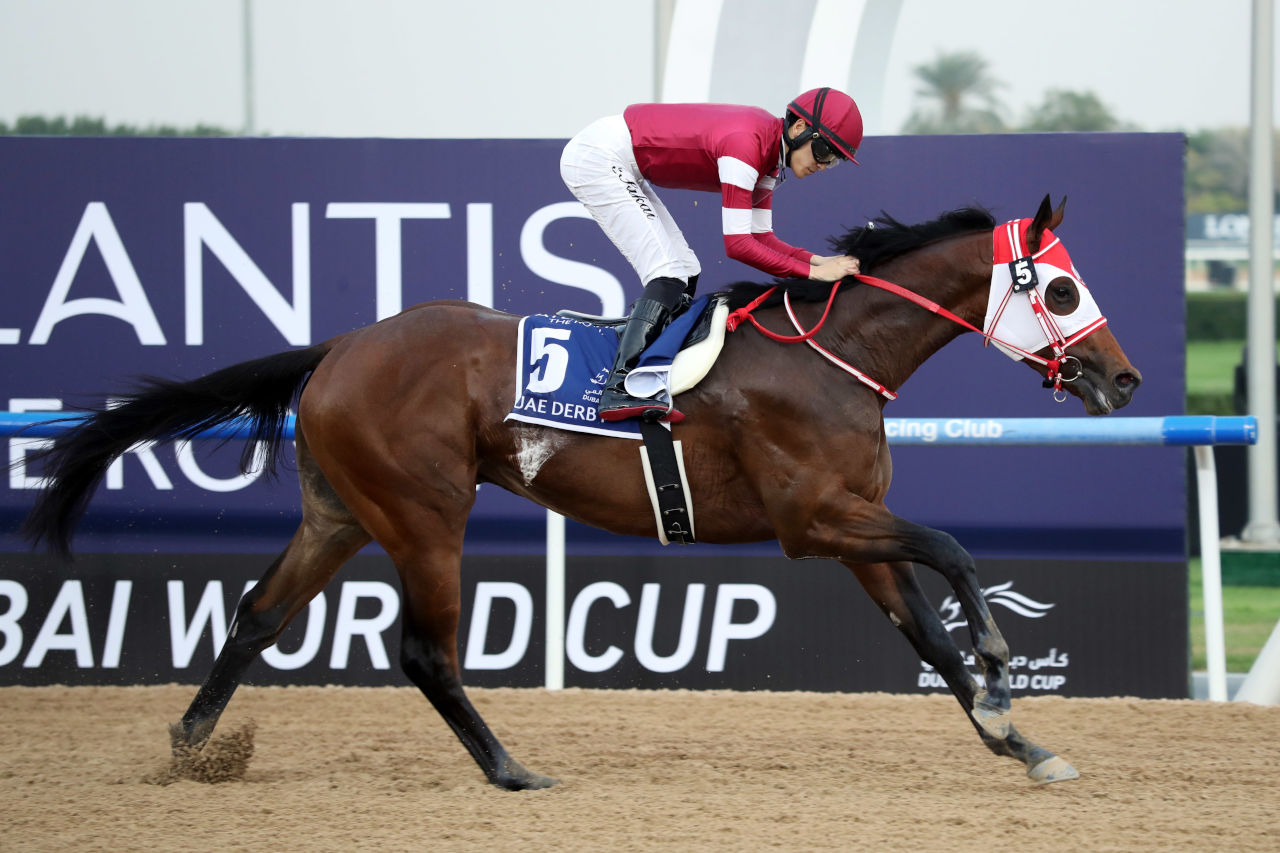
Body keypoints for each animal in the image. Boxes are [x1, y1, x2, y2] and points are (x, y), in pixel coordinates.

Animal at [20, 194, 1141, 788]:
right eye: (1059, 286)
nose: (1124, 380)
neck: (832, 358)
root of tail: (339, 347)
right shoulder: (814, 520)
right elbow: (954, 554)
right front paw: (1003, 671)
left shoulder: (853, 529)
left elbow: (930, 641)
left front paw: (1020, 740)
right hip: (424, 512)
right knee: (422, 650)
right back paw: (509, 769)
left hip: (339, 511)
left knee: (257, 613)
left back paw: (188, 747)